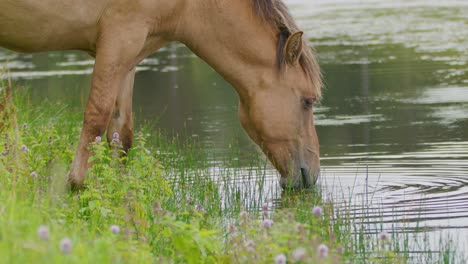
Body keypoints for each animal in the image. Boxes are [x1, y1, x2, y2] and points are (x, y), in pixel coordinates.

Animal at [0, 0, 322, 190]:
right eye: (308, 101)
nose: (312, 175)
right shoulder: (119, 38)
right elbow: (96, 116)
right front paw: (77, 186)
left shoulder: (128, 53)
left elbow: (121, 133)